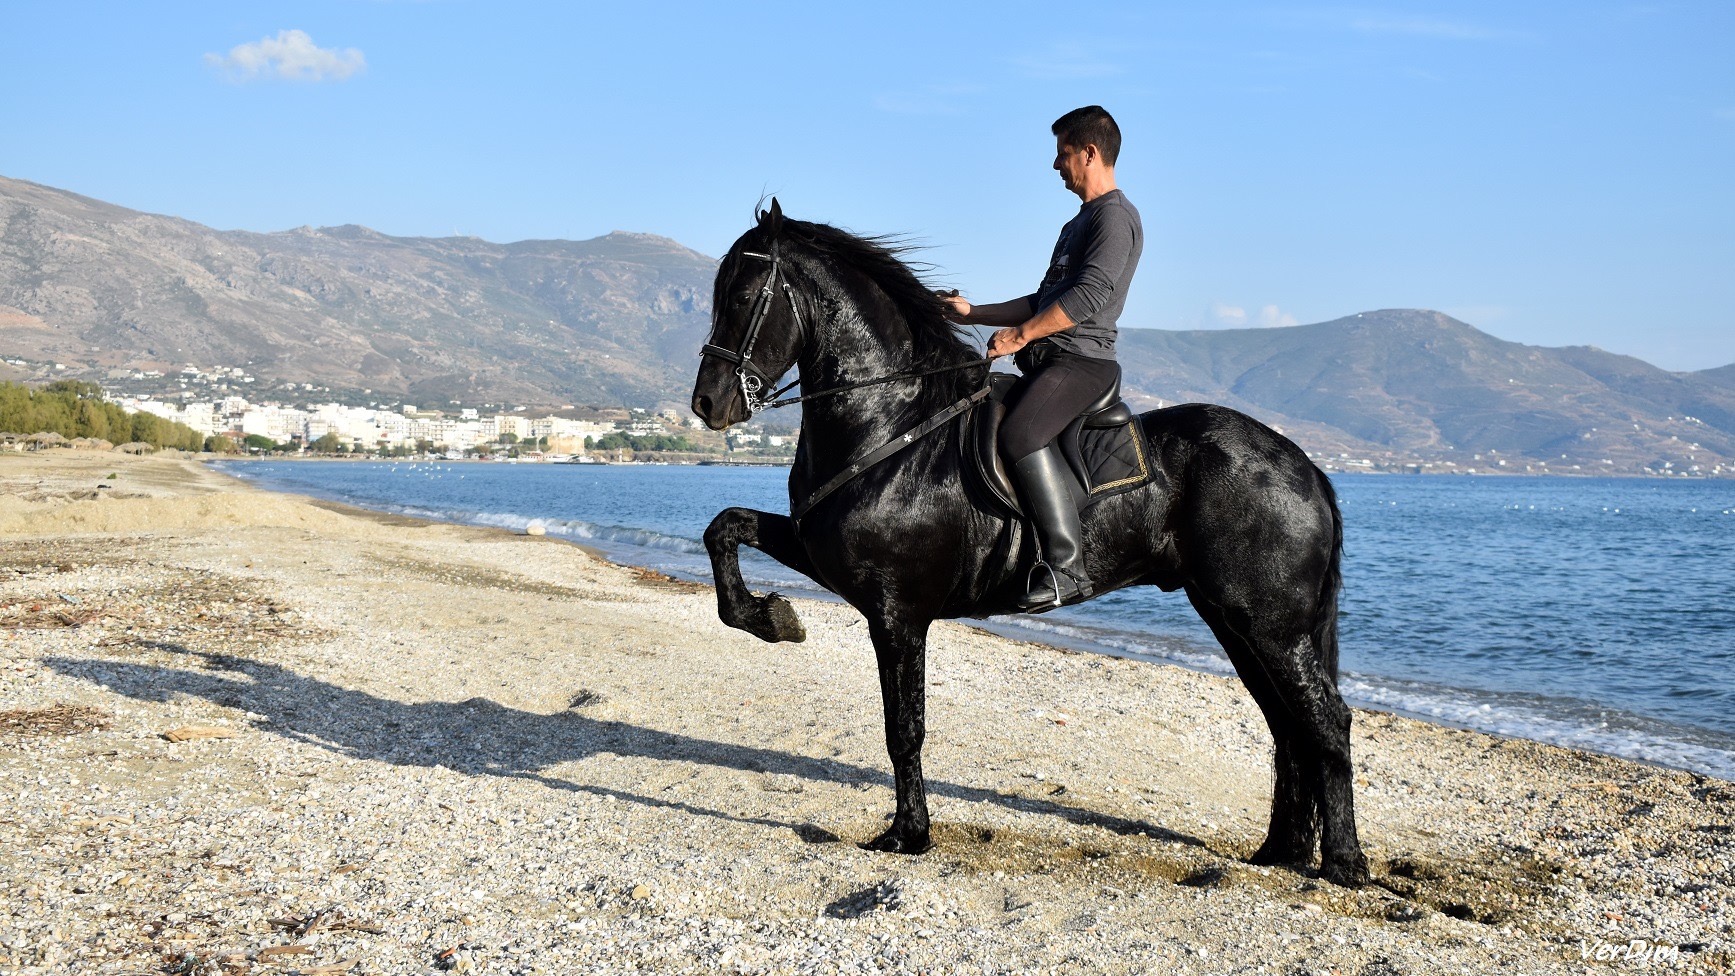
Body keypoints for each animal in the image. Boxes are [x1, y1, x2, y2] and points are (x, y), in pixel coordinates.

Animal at [690, 202, 1367, 887]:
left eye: (742, 296)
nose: (708, 402)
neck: (892, 423)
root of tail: (1304, 465)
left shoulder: (896, 611)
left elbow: (903, 727)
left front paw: (908, 835)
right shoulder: (819, 552)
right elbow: (724, 527)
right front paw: (773, 618)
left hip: (1269, 624)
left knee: (1324, 721)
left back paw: (1343, 863)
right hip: (1234, 619)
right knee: (1287, 725)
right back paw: (1281, 851)